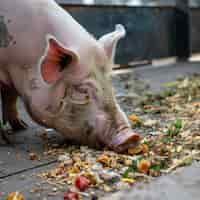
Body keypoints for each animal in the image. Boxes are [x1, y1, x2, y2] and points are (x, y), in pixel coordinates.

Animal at [0, 0, 141, 152]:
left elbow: (11, 98)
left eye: (110, 85)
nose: (131, 137)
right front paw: (6, 142)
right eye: (82, 91)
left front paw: (21, 127)